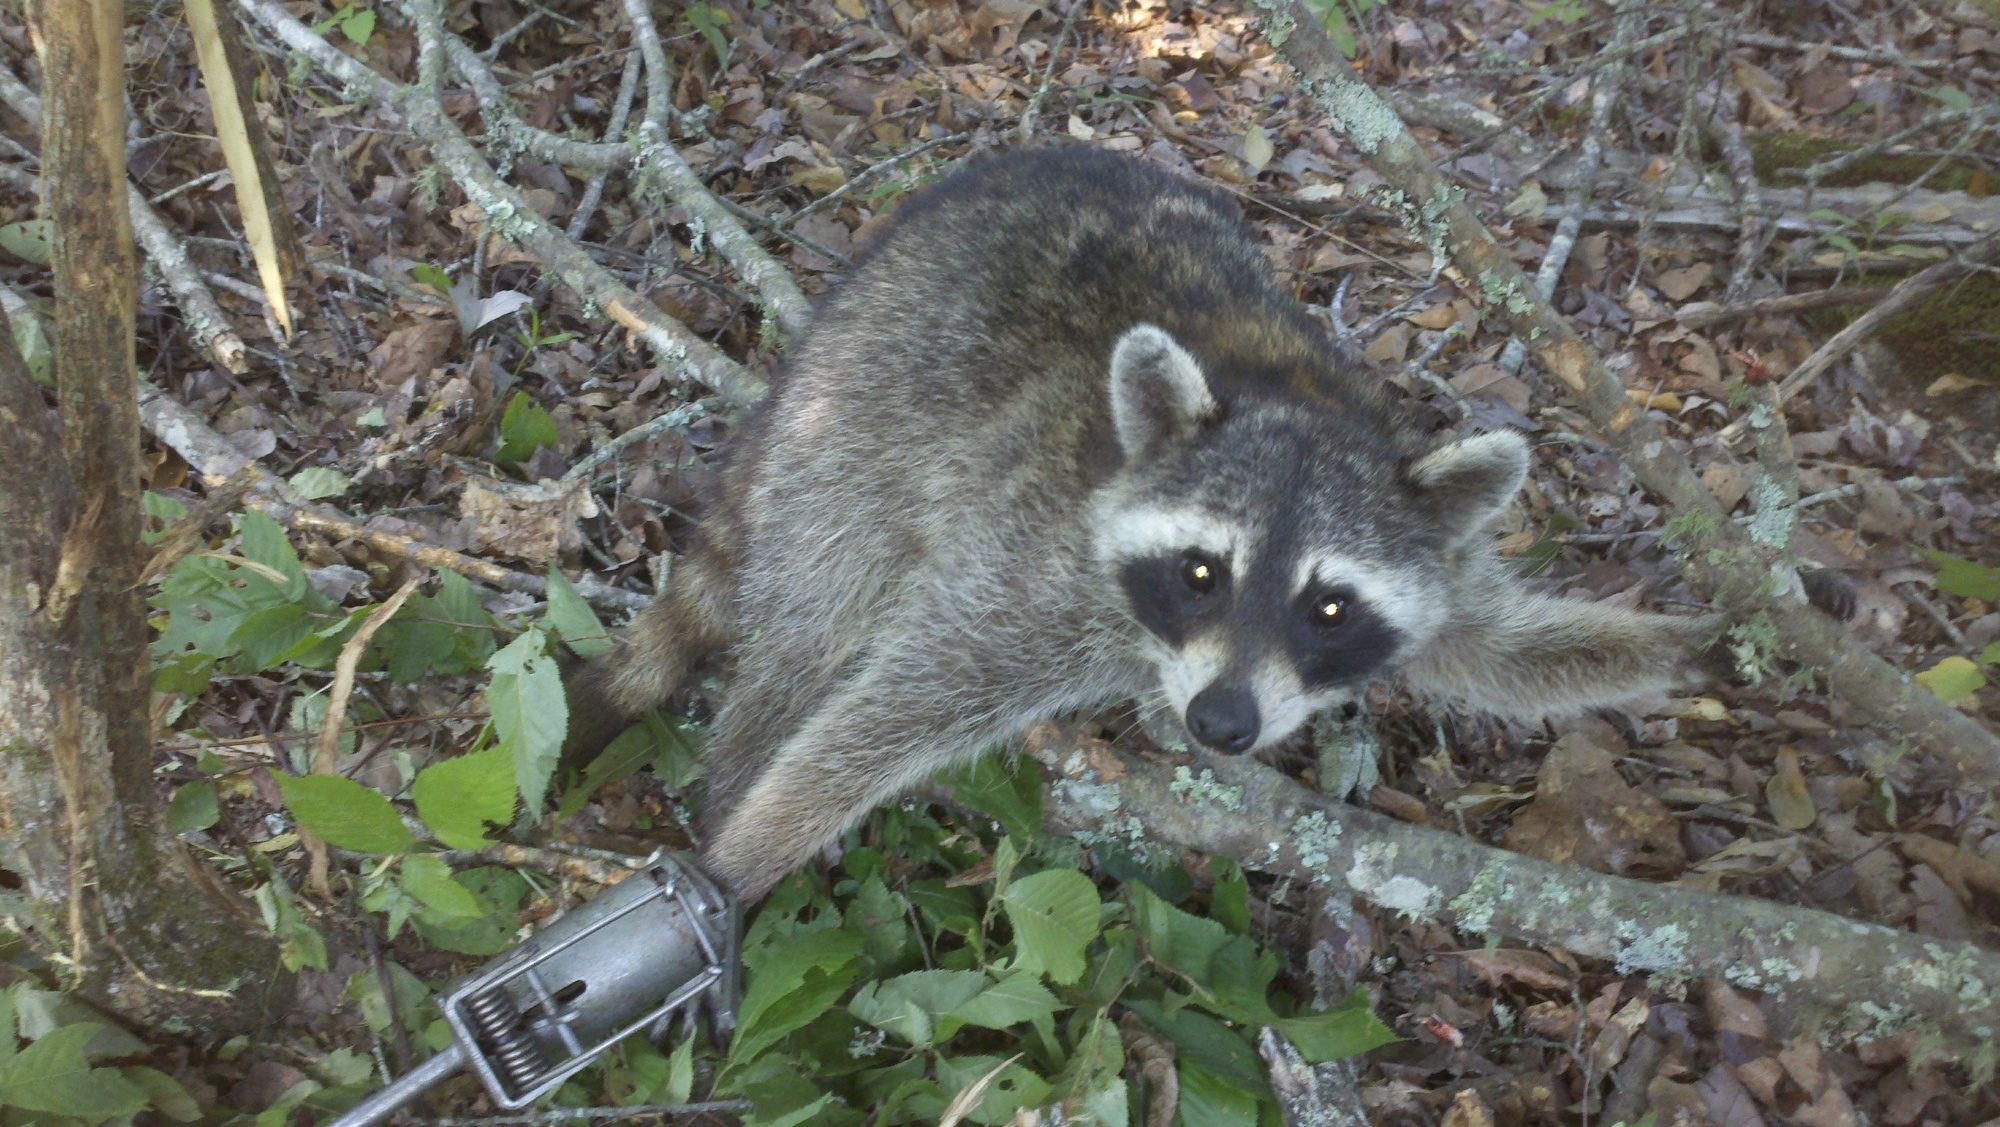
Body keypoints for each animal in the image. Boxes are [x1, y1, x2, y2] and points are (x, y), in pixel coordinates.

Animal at [568, 144, 1720, 903]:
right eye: (1202, 572)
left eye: (1330, 607)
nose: (1220, 722)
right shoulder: (1033, 565)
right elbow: (898, 700)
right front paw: (745, 849)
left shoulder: (1420, 539)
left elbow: (1495, 643)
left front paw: (1682, 647)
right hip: (860, 416)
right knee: (814, 623)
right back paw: (738, 773)